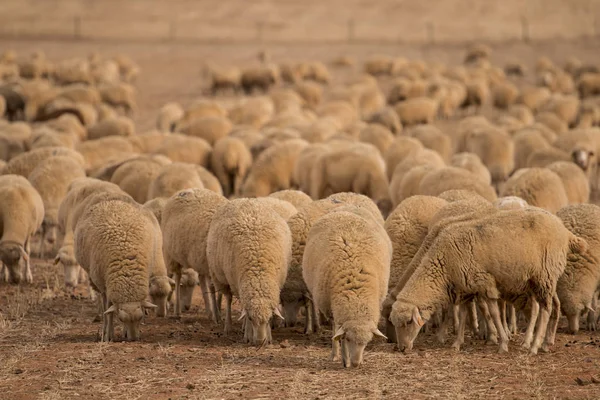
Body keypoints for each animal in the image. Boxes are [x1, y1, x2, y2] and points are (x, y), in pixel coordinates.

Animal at [75, 200, 164, 340]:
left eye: (141, 318)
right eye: (121, 319)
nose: (133, 339)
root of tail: (113, 201)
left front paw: (124, 333)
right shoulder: (106, 286)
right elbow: (109, 311)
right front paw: (108, 335)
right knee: (104, 305)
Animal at [161, 188, 229, 322]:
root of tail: (183, 191)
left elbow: (218, 290)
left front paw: (217, 310)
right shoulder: (211, 265)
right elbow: (213, 288)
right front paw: (217, 315)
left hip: (199, 258)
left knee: (201, 280)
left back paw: (209, 311)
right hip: (172, 255)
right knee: (176, 277)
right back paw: (176, 311)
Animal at [206, 199, 290, 344]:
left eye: (269, 318)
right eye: (252, 318)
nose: (260, 342)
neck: (258, 273)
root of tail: (244, 199)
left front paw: (268, 337)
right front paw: (248, 335)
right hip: (223, 278)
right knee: (228, 299)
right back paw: (228, 327)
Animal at [302, 209, 392, 368]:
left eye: (367, 342)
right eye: (349, 339)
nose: (356, 364)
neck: (356, 295)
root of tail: (344, 210)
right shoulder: (335, 314)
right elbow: (340, 337)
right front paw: (345, 359)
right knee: (334, 332)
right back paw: (335, 354)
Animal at [390, 206, 584, 354]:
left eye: (409, 322)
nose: (402, 348)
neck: (443, 263)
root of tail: (566, 232)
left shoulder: (485, 284)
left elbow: (493, 313)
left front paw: (502, 342)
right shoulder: (465, 288)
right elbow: (464, 314)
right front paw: (457, 343)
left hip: (544, 276)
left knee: (545, 309)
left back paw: (534, 346)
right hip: (542, 280)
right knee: (550, 306)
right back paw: (543, 343)